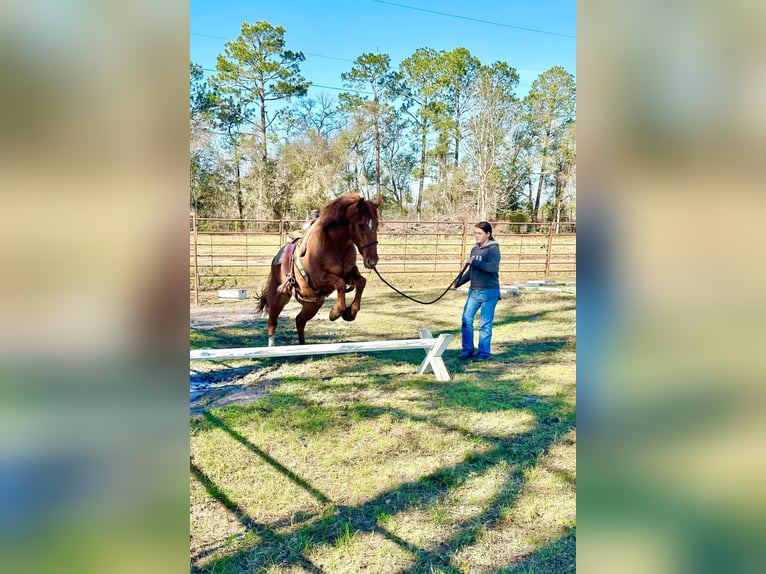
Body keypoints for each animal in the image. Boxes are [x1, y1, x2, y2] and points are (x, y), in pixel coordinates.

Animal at [256, 194, 382, 346]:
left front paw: (351, 312)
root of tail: (276, 259)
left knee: (299, 321)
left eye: (376, 224)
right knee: (272, 323)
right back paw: (271, 346)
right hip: (278, 298)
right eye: (360, 225)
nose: (372, 261)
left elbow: (361, 282)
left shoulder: (349, 274)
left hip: (313, 304)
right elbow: (340, 283)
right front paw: (335, 312)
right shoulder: (319, 278)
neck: (335, 245)